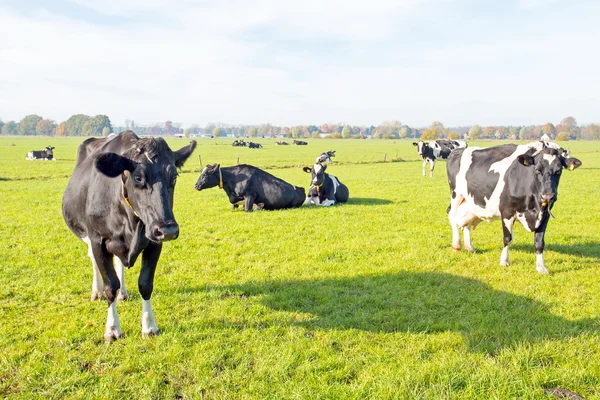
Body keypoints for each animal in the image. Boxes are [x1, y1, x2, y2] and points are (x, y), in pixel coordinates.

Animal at [61, 131, 197, 340]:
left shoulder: (154, 243)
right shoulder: (98, 240)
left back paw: (123, 294)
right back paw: (96, 292)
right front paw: (112, 328)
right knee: (93, 260)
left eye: (174, 176)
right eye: (139, 177)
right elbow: (110, 285)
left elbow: (145, 283)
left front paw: (149, 326)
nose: (167, 230)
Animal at [446, 141, 580, 276]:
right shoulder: (507, 211)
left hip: (470, 202)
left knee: (466, 223)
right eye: (537, 170)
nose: (548, 196)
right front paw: (504, 261)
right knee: (452, 215)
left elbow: (539, 243)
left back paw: (469, 247)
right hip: (456, 194)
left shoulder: (545, 214)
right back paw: (456, 244)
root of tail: (457, 151)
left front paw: (541, 267)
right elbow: (508, 238)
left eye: (559, 171)